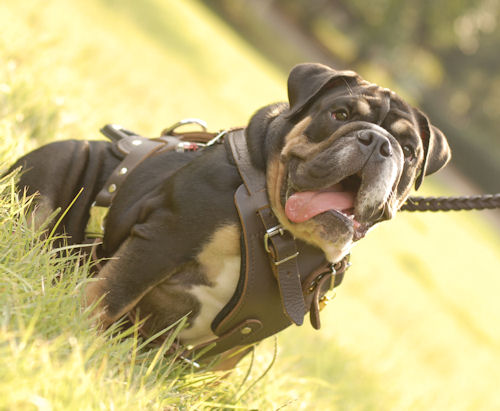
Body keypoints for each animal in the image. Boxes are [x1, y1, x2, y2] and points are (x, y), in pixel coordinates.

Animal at [9, 64, 452, 354]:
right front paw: (78, 332)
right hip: (65, 160)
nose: (376, 141)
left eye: (409, 150)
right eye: (339, 114)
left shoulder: (255, 324)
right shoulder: (166, 237)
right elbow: (111, 293)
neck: (273, 222)